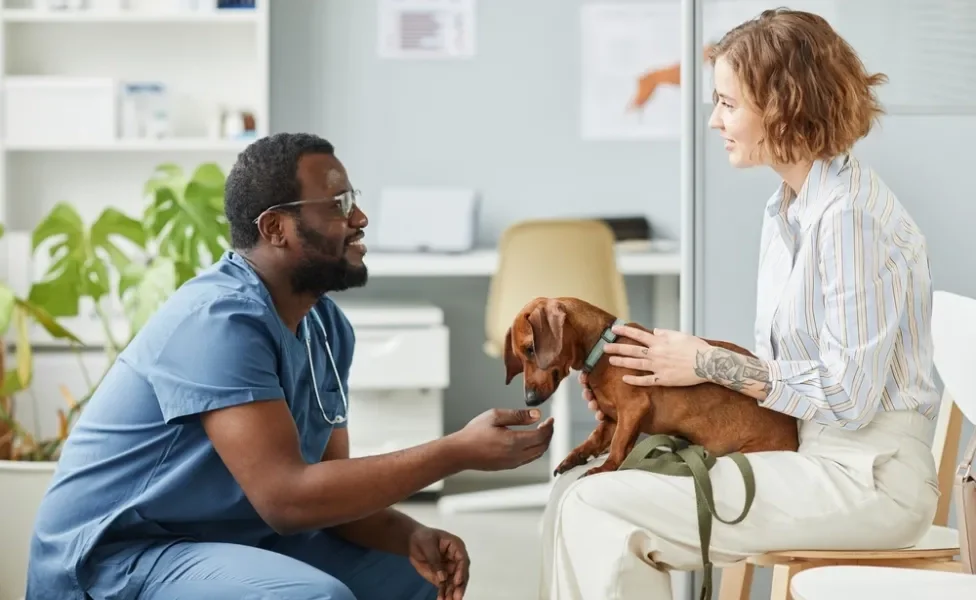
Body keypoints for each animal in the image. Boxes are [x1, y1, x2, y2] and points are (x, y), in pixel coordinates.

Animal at [504, 298, 800, 476]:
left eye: (531, 349)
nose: (529, 400)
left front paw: (606, 468)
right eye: (520, 355)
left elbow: (618, 445)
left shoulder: (633, 409)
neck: (603, 346)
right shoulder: (612, 418)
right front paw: (574, 457)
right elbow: (595, 439)